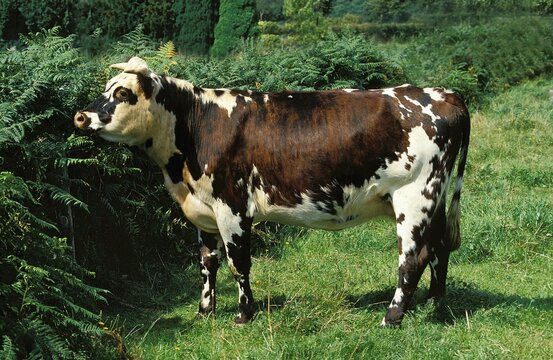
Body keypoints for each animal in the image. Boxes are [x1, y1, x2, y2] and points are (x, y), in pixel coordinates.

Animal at [74, 57, 470, 326]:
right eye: (106, 88)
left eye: (122, 93)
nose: (81, 116)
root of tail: (445, 93)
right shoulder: (203, 211)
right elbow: (207, 263)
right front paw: (205, 312)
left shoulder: (232, 206)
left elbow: (238, 263)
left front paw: (243, 315)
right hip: (432, 199)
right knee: (438, 248)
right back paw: (434, 303)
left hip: (413, 197)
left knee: (412, 259)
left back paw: (392, 316)